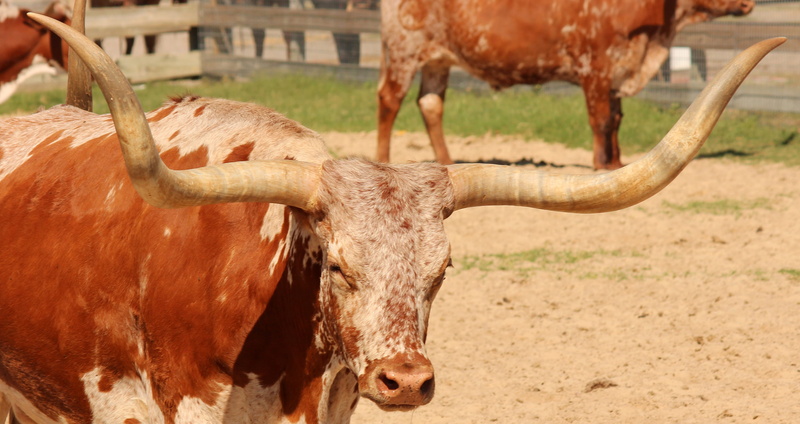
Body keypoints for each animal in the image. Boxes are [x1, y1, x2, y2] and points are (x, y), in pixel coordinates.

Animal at [376, 0, 755, 169]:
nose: (749, 2)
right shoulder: (596, 69)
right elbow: (601, 120)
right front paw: (602, 165)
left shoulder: (615, 74)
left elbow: (616, 119)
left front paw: (617, 162)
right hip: (404, 53)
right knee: (389, 100)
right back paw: (383, 159)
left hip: (437, 61)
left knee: (430, 104)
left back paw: (447, 162)